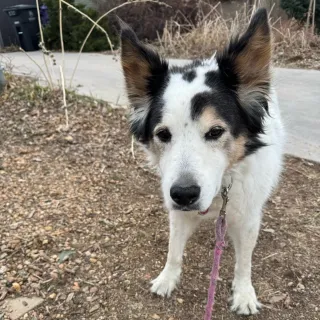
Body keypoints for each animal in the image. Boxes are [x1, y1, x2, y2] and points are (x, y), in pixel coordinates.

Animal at [119, 8, 284, 316]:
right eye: (163, 134)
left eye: (215, 132)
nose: (184, 195)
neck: (220, 190)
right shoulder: (178, 211)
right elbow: (174, 249)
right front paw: (168, 278)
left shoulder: (246, 215)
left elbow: (244, 261)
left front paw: (244, 293)